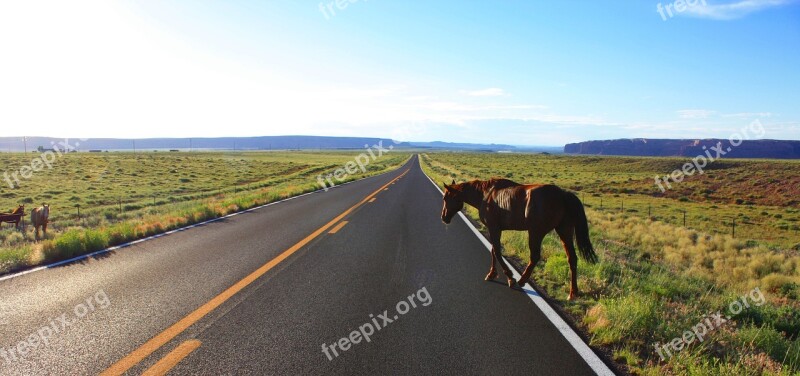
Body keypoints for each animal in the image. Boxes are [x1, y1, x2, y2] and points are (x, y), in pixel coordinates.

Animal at [440, 178, 596, 300]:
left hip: (536, 232)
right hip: (564, 231)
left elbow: (497, 252)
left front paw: (510, 277)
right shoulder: (496, 229)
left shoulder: (494, 228)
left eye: (446, 198)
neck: (485, 195)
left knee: (535, 256)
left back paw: (521, 280)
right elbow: (493, 251)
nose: (444, 217)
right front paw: (492, 273)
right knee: (572, 258)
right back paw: (573, 293)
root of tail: (563, 194)